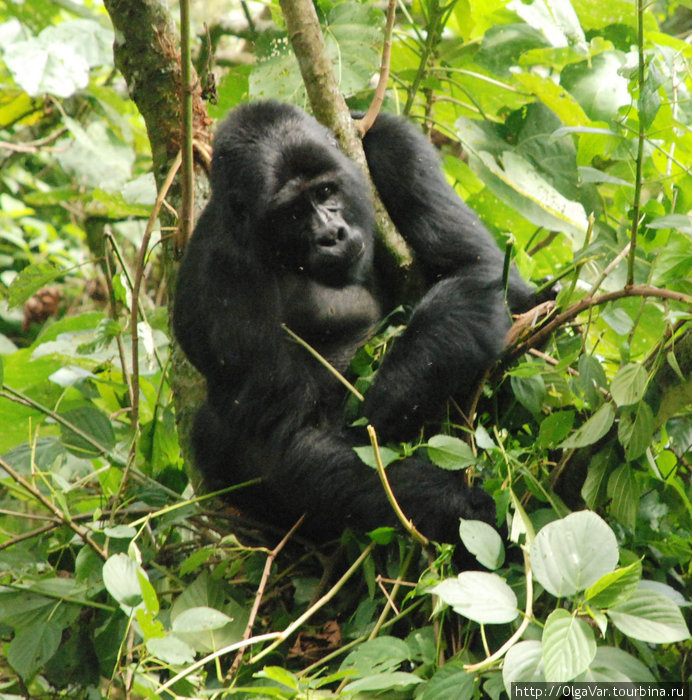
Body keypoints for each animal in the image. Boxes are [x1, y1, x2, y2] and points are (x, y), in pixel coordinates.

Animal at [172, 100, 536, 548]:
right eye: (293, 212)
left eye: (326, 192)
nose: (332, 233)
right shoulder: (222, 274)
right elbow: (288, 438)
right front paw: (455, 504)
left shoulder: (392, 143)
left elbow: (476, 269)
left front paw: (389, 397)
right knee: (213, 431)